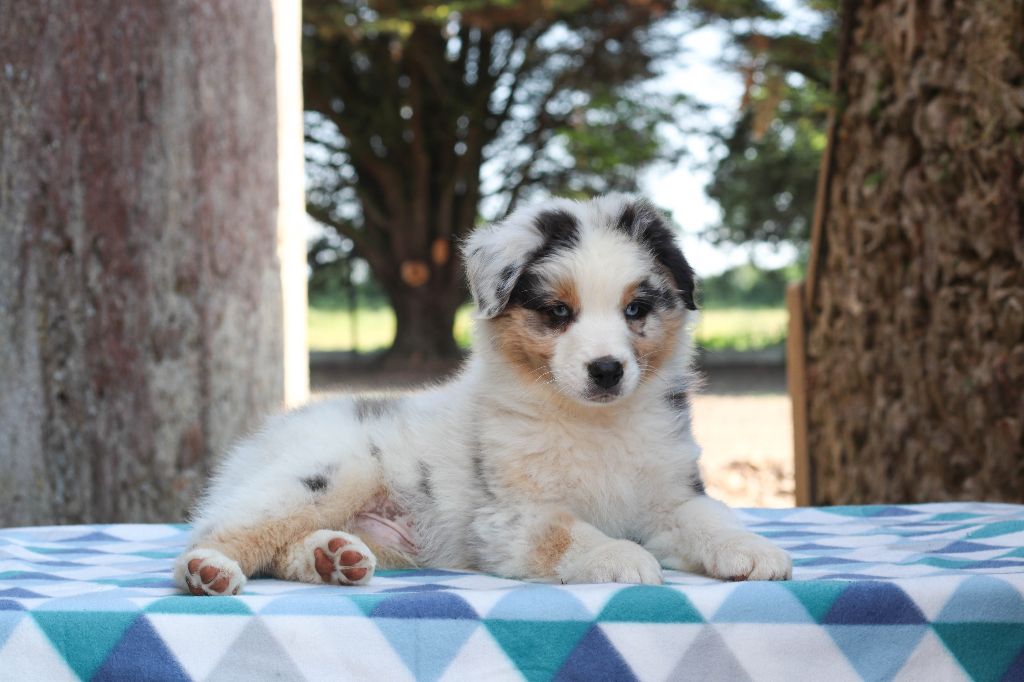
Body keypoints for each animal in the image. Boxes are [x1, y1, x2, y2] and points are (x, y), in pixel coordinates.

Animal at [174, 194, 791, 596]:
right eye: (558, 313)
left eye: (636, 309)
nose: (607, 370)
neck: (592, 423)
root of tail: (260, 439)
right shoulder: (509, 515)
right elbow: (567, 532)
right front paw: (620, 556)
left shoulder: (670, 493)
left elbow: (709, 518)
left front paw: (755, 551)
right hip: (325, 475)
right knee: (219, 529)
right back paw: (208, 572)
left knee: (282, 551)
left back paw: (333, 559)